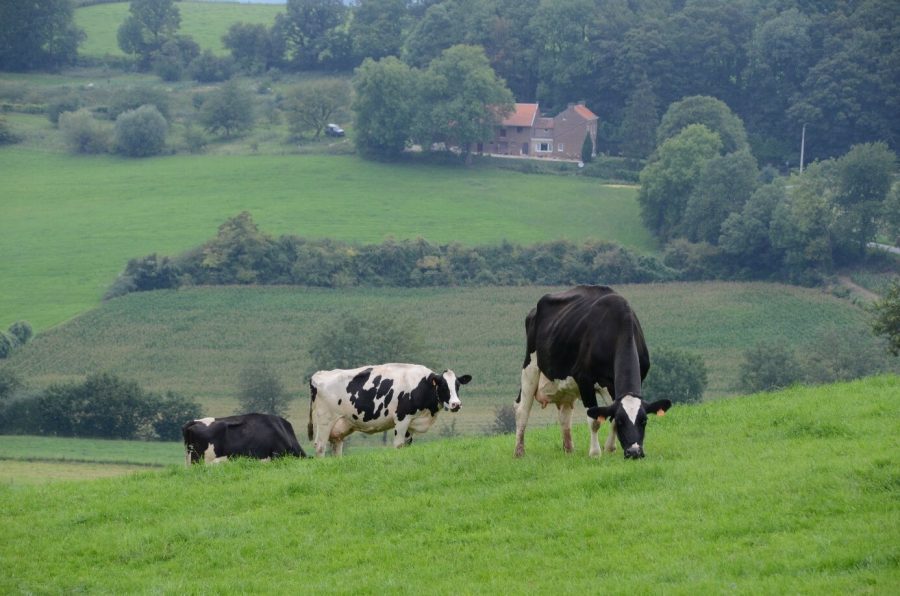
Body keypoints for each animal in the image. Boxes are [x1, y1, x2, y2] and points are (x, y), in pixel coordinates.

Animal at [308, 364, 472, 456]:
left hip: (340, 426)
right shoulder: (402, 418)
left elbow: (407, 445)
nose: (456, 404)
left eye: (457, 385)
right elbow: (398, 445)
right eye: (443, 386)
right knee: (320, 446)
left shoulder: (411, 423)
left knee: (336, 448)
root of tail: (320, 374)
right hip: (325, 421)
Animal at [516, 286, 672, 458]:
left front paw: (610, 448)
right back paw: (519, 452)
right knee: (522, 410)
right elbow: (595, 420)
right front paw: (595, 453)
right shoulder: (584, 379)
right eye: (622, 421)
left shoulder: (614, 385)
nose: (634, 452)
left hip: (566, 386)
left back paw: (569, 450)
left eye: (644, 421)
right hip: (530, 368)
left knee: (565, 416)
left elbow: (609, 416)